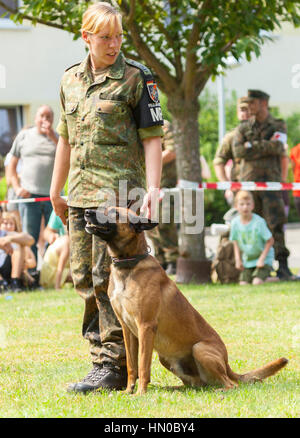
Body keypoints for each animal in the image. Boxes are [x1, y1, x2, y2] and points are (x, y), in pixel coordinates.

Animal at [83, 207, 288, 396]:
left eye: (113, 212)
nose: (86, 212)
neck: (129, 264)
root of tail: (227, 363)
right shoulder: (128, 330)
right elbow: (133, 366)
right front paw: (128, 391)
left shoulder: (145, 327)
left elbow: (142, 365)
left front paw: (140, 393)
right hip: (166, 359)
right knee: (196, 385)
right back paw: (172, 388)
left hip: (200, 349)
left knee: (231, 384)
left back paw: (219, 390)